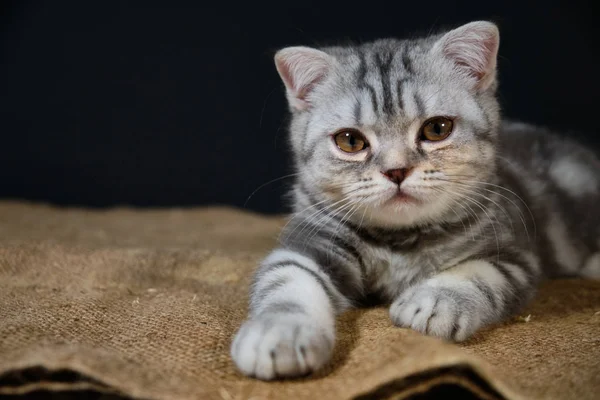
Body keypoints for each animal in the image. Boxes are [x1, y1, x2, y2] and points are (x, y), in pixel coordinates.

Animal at [230, 20, 600, 380]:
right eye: (350, 141)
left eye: (437, 129)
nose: (396, 170)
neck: (400, 243)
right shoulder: (310, 243)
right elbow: (287, 280)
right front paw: (279, 332)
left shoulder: (512, 254)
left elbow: (476, 272)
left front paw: (435, 302)